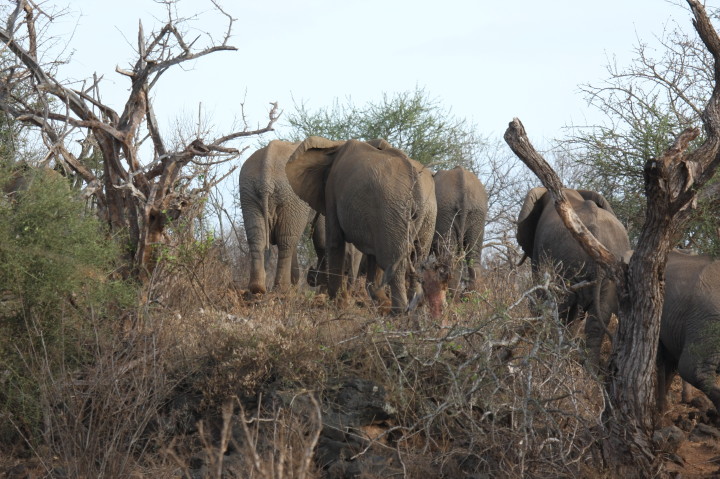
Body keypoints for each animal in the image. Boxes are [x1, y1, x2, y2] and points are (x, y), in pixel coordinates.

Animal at [239, 140, 315, 294]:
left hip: (248, 192)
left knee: (257, 237)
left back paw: (257, 289)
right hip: (292, 197)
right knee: (286, 240)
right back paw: (283, 290)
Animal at [285, 136, 438, 313]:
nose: (311, 274)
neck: (333, 147)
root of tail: (417, 183)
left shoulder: (332, 191)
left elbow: (335, 242)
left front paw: (337, 304)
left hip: (393, 210)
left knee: (393, 264)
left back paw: (398, 313)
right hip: (424, 215)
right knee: (417, 259)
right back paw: (413, 307)